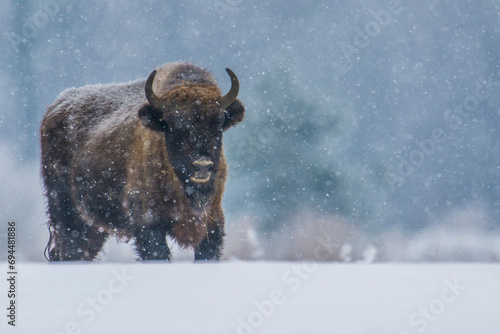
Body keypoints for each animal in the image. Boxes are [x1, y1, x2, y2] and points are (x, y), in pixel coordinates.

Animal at [42, 62, 245, 260]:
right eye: (173, 125)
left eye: (218, 123)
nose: (202, 167)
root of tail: (55, 107)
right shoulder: (148, 224)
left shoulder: (213, 223)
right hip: (64, 211)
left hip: (93, 225)